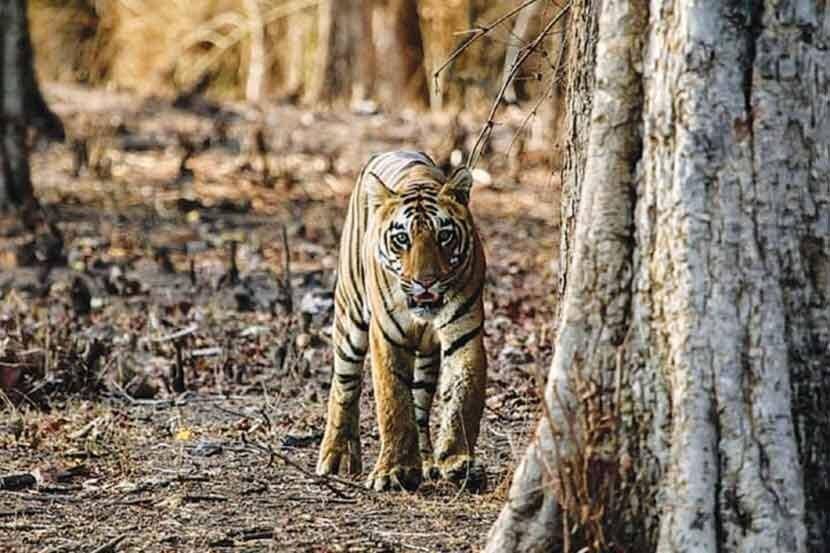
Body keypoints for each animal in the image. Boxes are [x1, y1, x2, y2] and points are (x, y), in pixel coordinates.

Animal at [316, 149, 488, 490]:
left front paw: (457, 461)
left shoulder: (466, 333)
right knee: (343, 386)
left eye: (444, 236)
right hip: (350, 319)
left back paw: (427, 462)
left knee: (420, 404)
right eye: (401, 239)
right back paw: (333, 457)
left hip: (426, 359)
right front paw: (393, 471)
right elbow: (393, 400)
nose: (426, 282)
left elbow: (463, 397)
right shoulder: (386, 337)